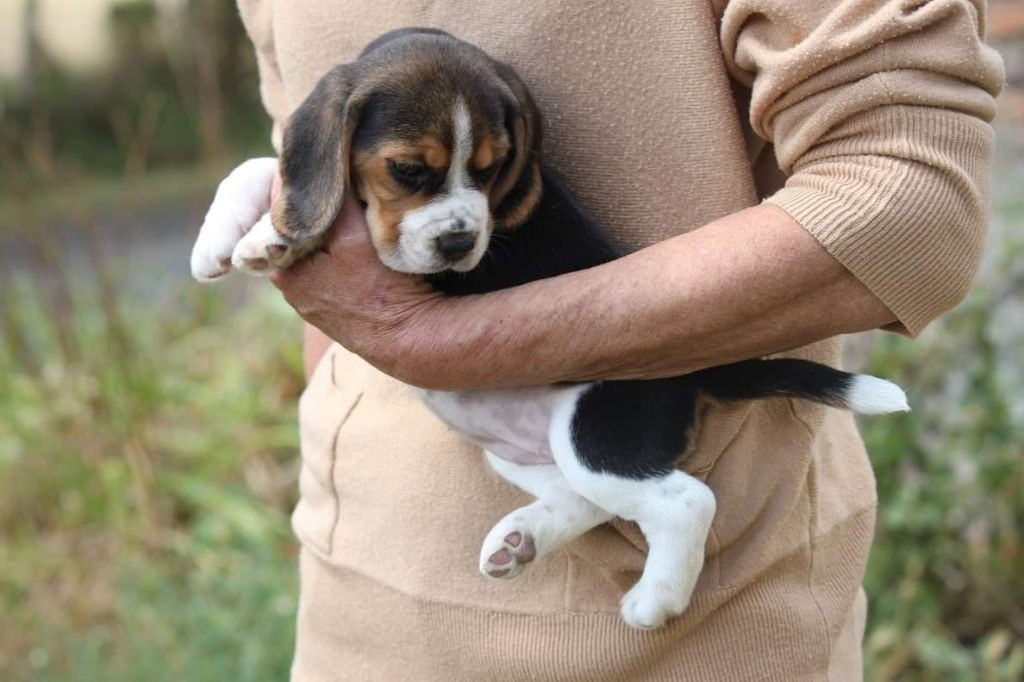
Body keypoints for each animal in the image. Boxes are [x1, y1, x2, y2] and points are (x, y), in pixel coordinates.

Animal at [188, 30, 909, 626]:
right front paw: (221, 238)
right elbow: (263, 166)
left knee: (686, 502)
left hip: (596, 431)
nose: (460, 242)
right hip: (513, 447)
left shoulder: (435, 271)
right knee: (588, 500)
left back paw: (654, 602)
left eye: (490, 168)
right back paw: (520, 540)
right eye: (409, 170)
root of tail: (698, 368)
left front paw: (269, 237)